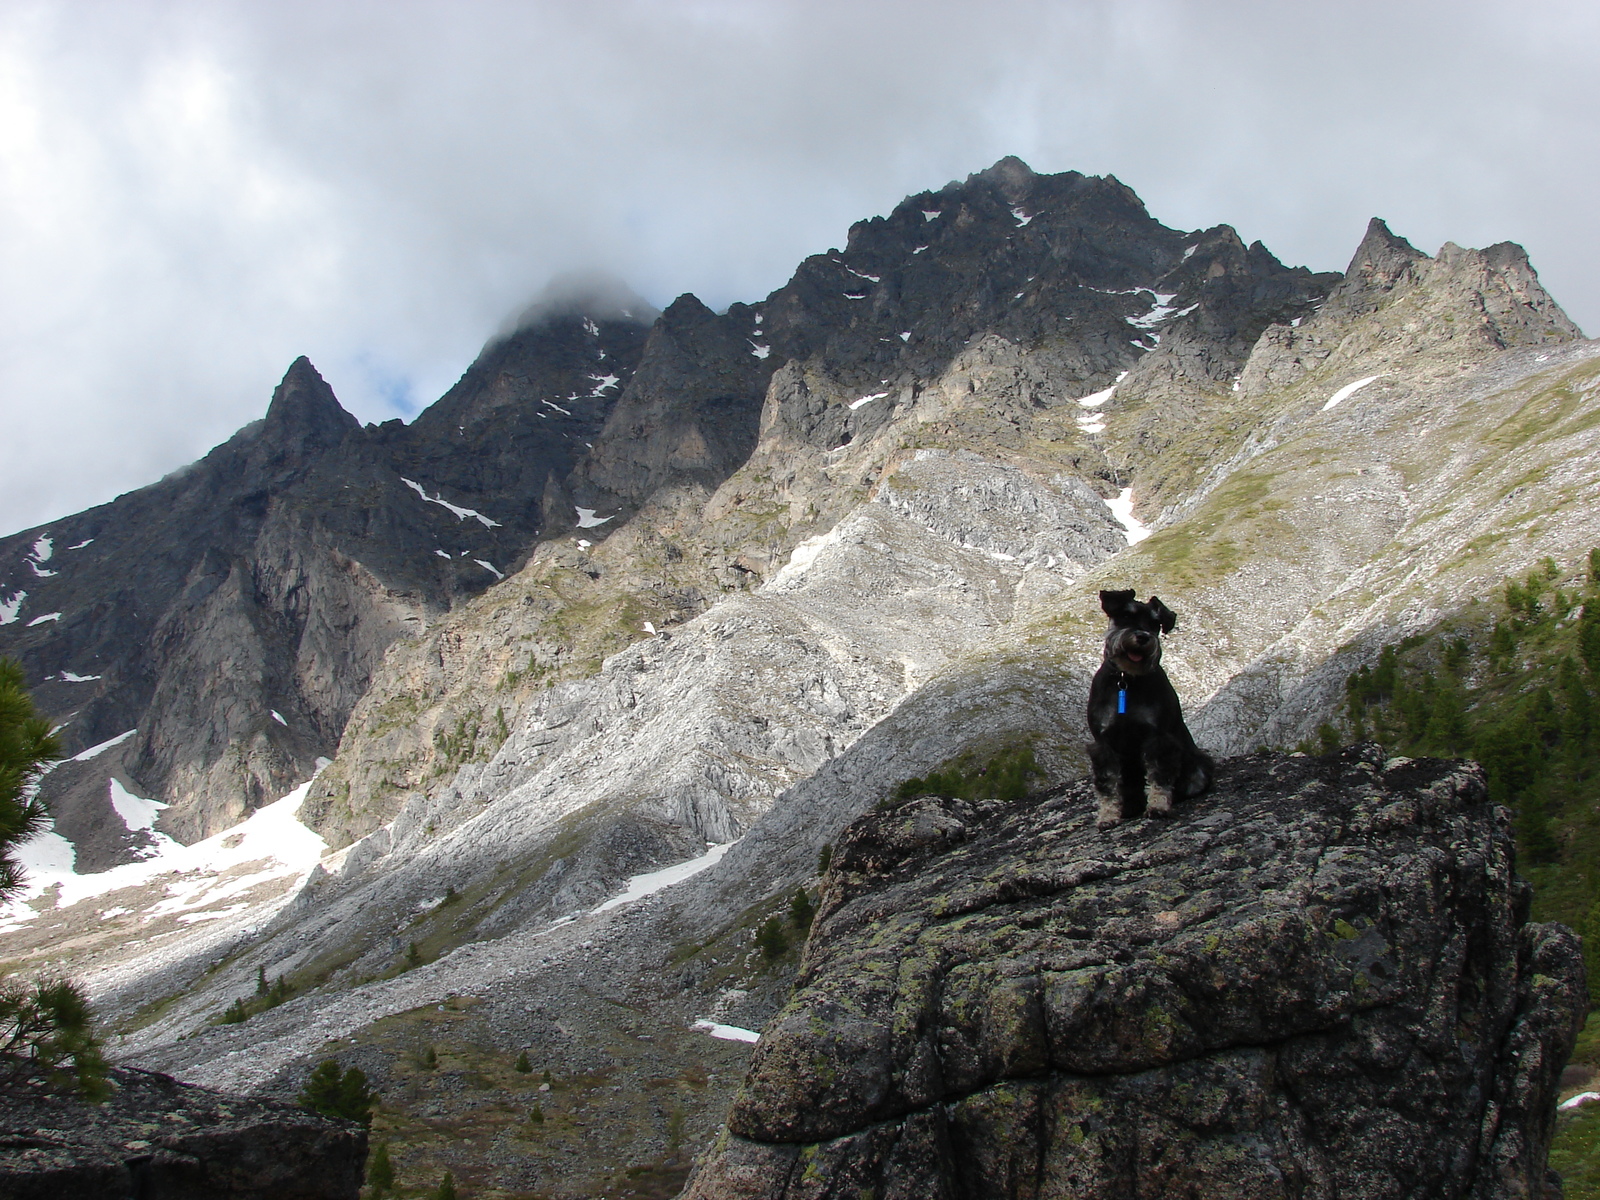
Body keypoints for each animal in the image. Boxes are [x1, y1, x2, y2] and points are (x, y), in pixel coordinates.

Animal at [1088, 588, 1209, 832]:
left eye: (1155, 624)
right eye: (1126, 615)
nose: (1143, 637)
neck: (1126, 680)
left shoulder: (1158, 737)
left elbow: (1159, 776)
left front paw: (1158, 807)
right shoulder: (1103, 744)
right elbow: (1107, 785)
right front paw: (1107, 816)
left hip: (1198, 768)